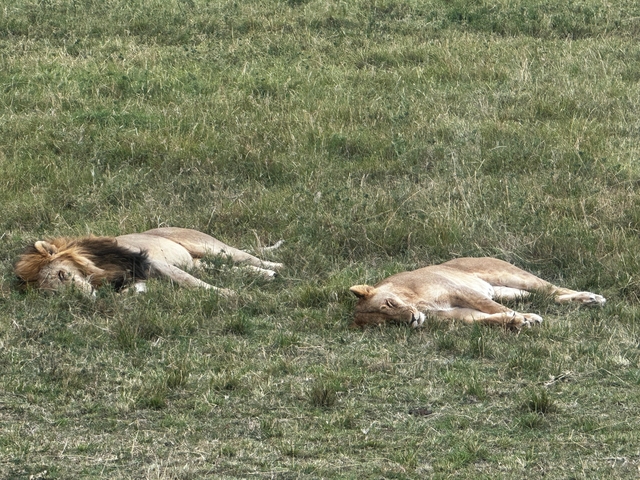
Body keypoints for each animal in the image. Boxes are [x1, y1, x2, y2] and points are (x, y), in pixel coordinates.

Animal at [15, 227, 284, 296]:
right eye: (52, 295)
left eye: (62, 274)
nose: (84, 298)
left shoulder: (153, 262)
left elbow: (189, 282)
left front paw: (230, 295)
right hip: (200, 262)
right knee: (231, 268)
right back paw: (268, 275)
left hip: (212, 248)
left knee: (245, 256)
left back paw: (277, 267)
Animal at [350, 257, 606, 329]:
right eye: (389, 322)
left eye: (389, 304)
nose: (412, 319)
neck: (418, 304)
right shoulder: (455, 314)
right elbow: (486, 318)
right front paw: (515, 320)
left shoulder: (460, 291)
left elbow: (492, 308)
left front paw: (525, 318)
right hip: (510, 291)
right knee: (545, 296)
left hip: (509, 274)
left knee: (551, 288)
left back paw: (591, 298)